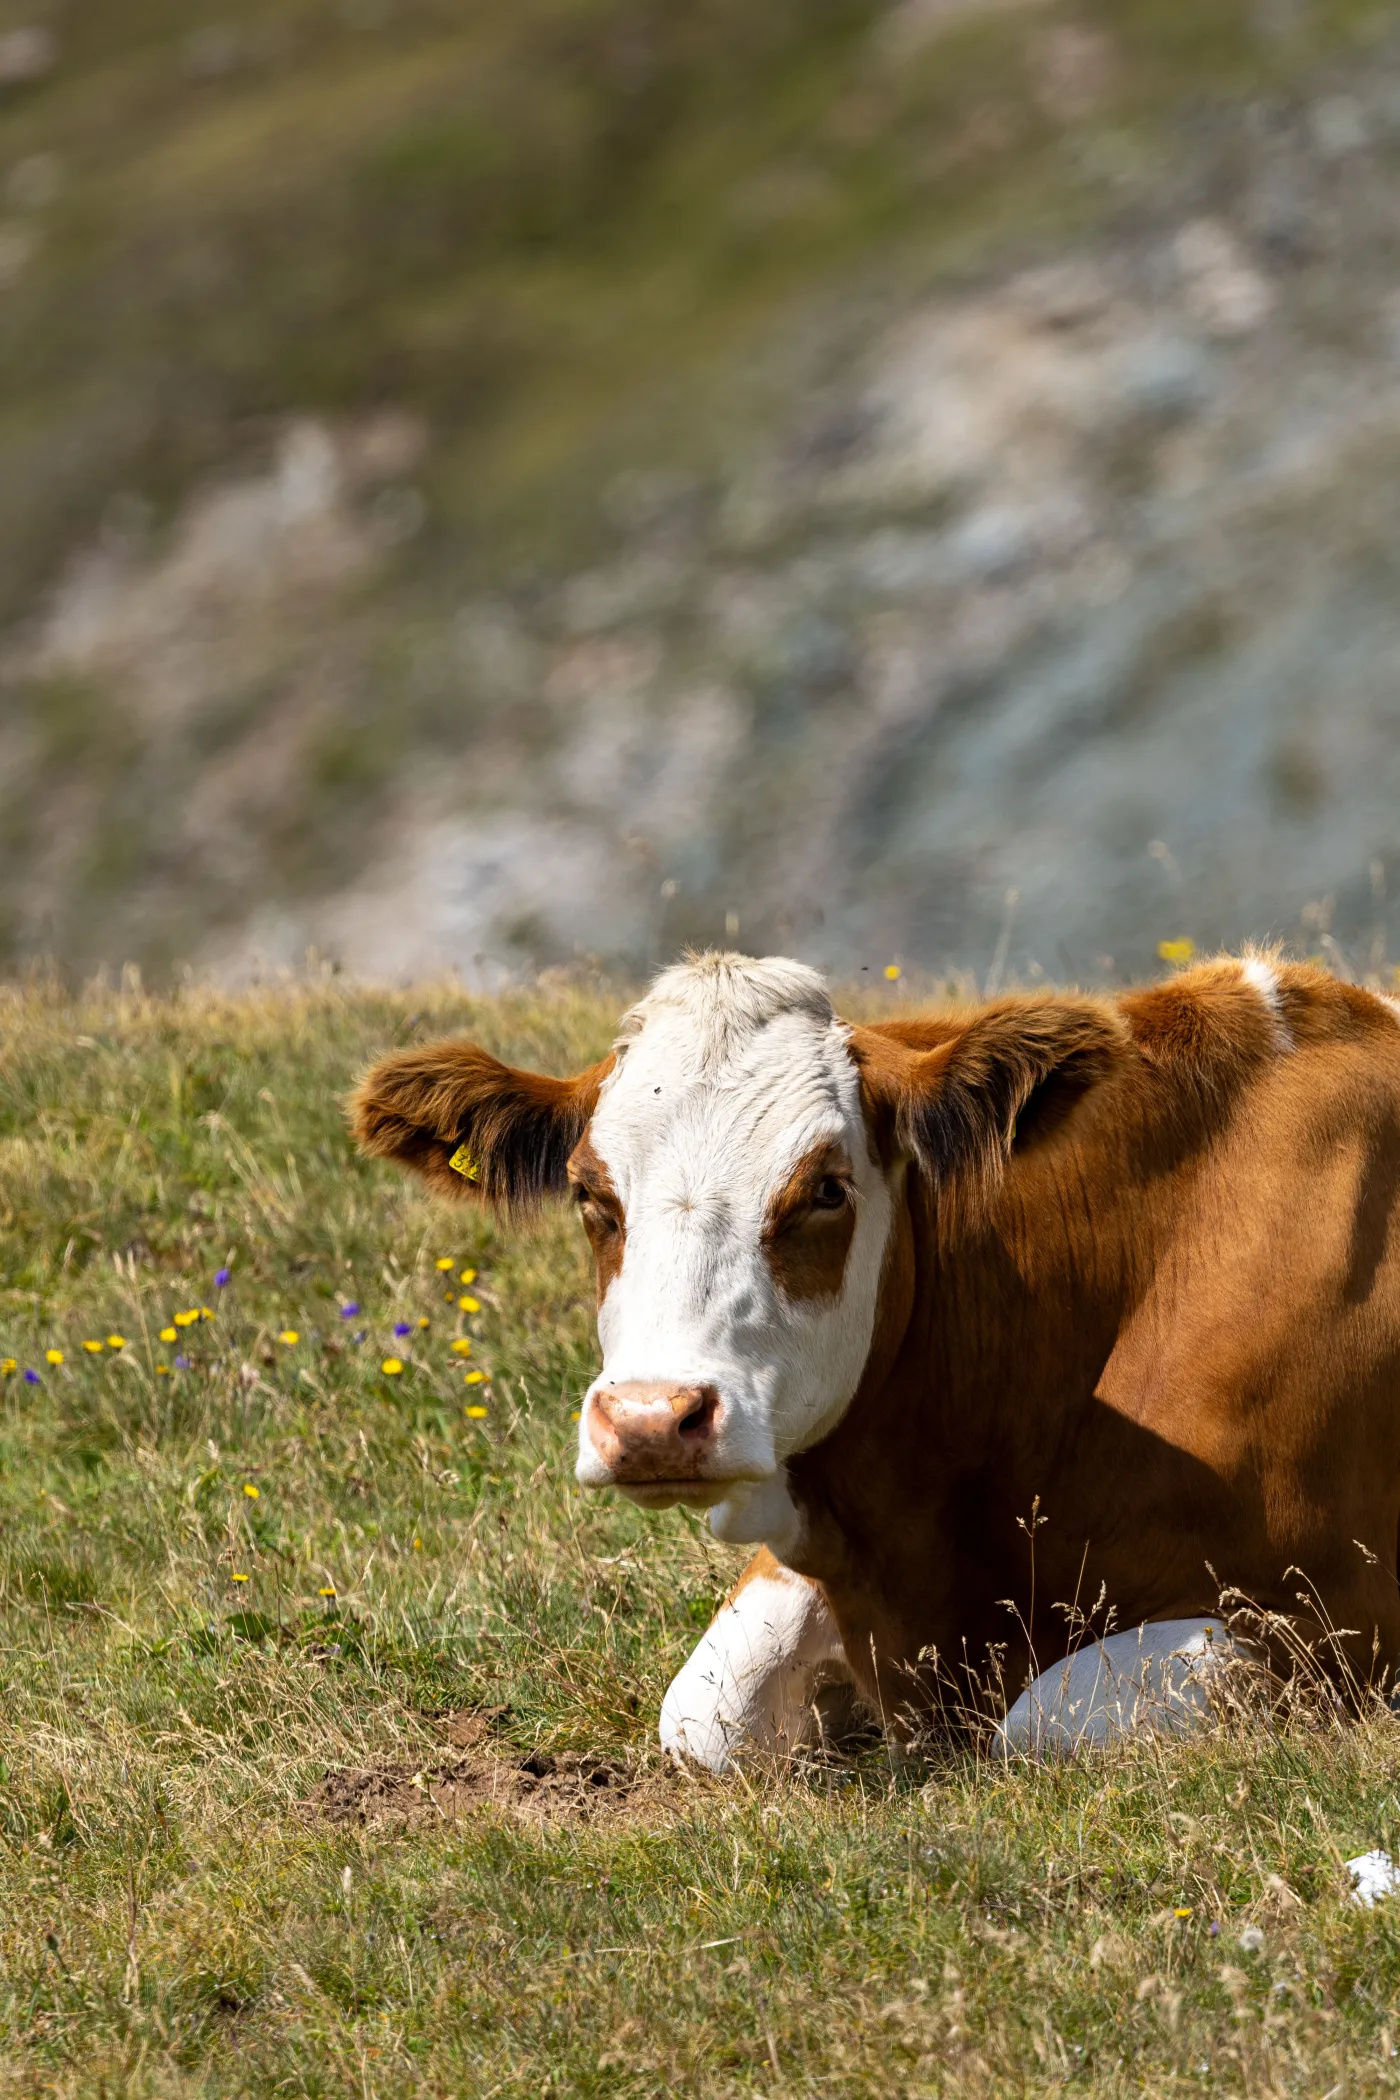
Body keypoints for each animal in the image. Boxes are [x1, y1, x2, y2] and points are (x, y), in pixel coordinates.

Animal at [350, 950, 1400, 1767]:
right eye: (589, 1195)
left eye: (826, 1188)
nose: (652, 1420)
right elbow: (703, 1715)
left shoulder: (1333, 1626)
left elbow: (1043, 1720)